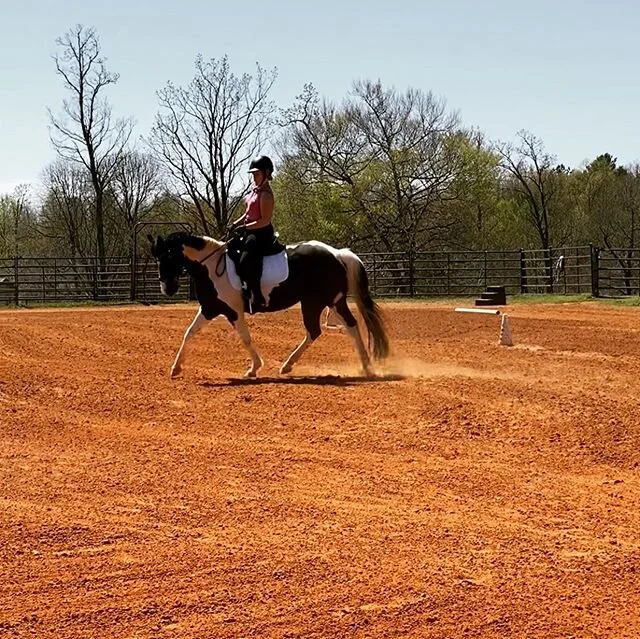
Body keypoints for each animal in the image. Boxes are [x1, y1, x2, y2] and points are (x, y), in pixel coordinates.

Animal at [148, 232, 389, 378]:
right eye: (158, 259)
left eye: (167, 257)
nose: (167, 289)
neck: (211, 267)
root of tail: (337, 254)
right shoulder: (209, 309)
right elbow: (189, 333)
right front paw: (175, 368)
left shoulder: (233, 312)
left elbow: (245, 338)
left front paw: (254, 368)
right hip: (330, 302)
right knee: (342, 327)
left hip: (317, 302)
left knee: (323, 329)